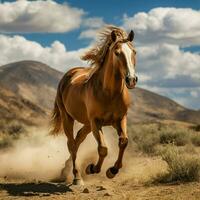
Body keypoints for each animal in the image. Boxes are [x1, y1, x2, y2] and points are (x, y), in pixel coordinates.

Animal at [50, 25, 138, 185]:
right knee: (72, 144)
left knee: (78, 140)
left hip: (87, 124)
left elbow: (123, 142)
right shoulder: (96, 122)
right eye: (117, 53)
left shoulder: (120, 119)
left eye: (134, 52)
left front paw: (112, 170)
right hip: (69, 118)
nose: (132, 80)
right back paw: (77, 177)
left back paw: (65, 170)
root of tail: (69, 74)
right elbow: (103, 148)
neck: (109, 93)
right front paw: (92, 168)